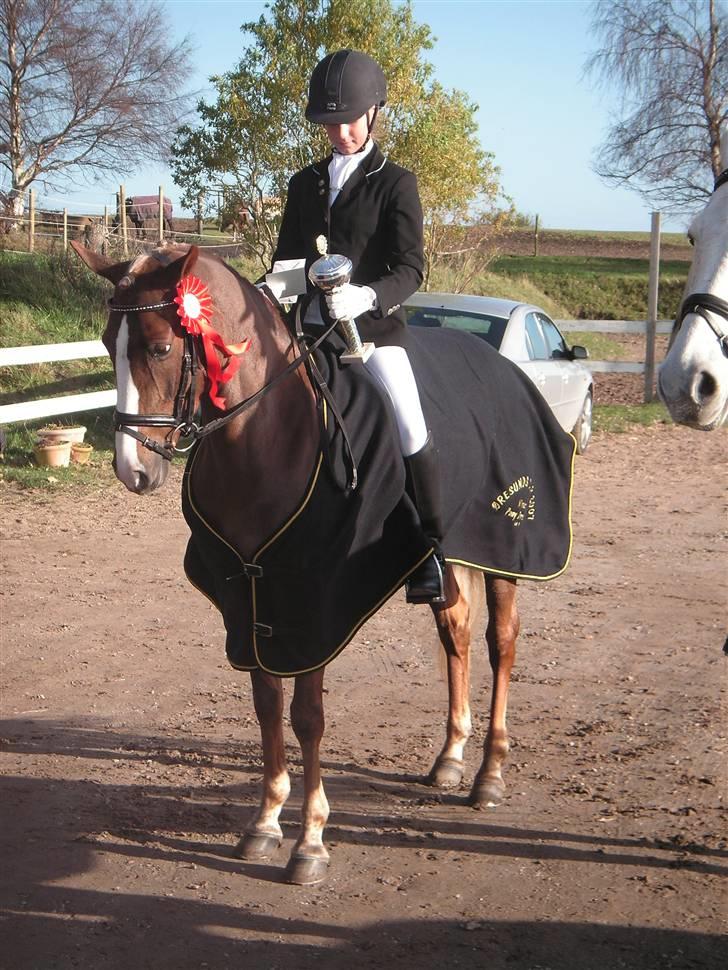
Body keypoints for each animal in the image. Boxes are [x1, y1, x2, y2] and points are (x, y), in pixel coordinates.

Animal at [72, 238, 516, 880]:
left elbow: (307, 716)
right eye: (108, 344)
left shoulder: (315, 600)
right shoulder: (248, 596)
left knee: (500, 642)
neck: (266, 439)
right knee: (454, 629)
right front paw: (264, 822)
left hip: (505, 546)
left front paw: (310, 840)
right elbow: (265, 705)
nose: (133, 470)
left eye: (159, 347)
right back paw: (451, 757)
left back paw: (488, 774)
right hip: (449, 560)